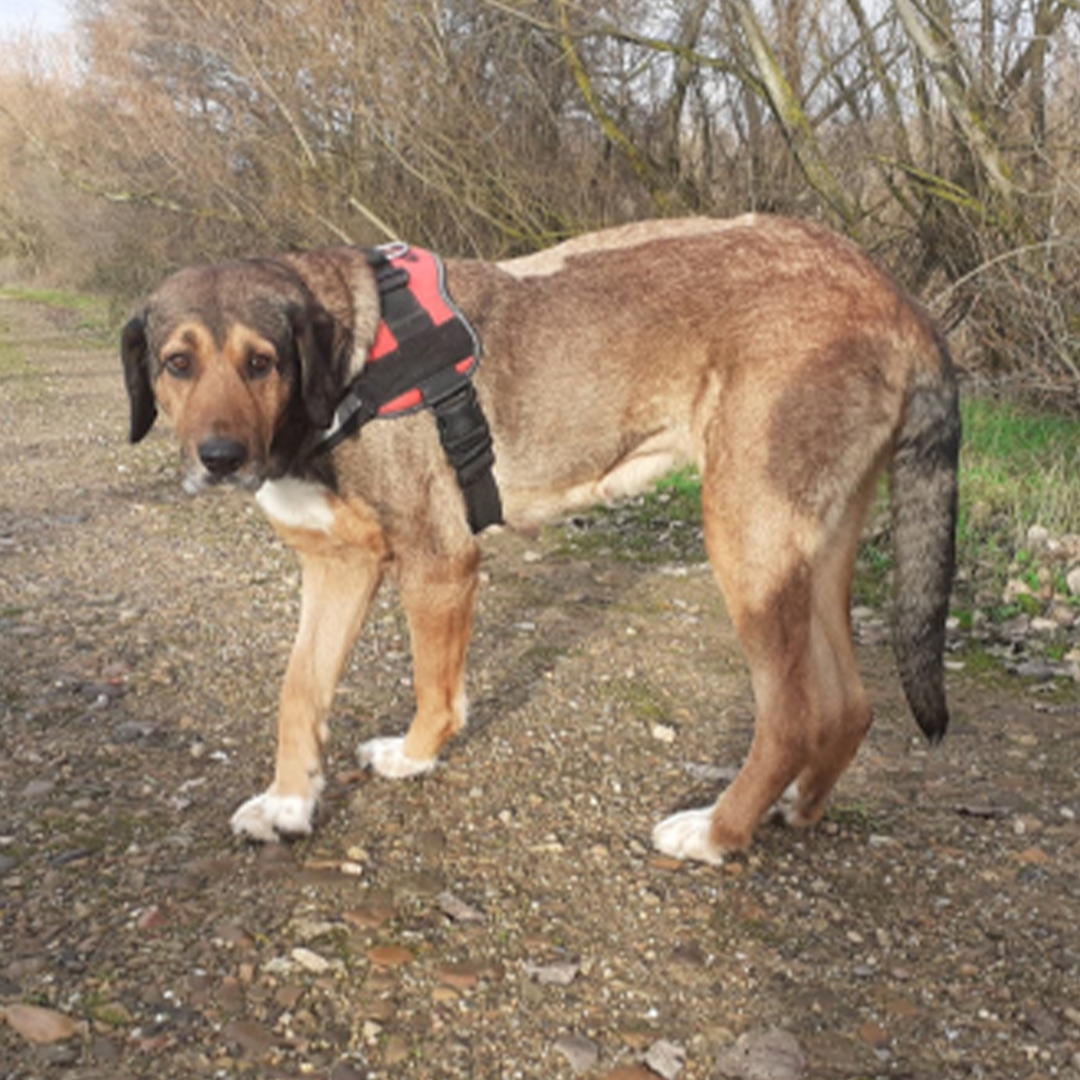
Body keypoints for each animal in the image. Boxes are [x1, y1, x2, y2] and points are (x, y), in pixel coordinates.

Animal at [122, 214, 959, 864]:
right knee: (850, 705)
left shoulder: (439, 561)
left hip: (747, 539)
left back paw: (717, 832)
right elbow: (299, 691)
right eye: (177, 363)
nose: (220, 458)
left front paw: (412, 758)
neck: (341, 375)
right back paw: (797, 808)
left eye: (261, 361)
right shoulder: (337, 566)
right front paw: (289, 804)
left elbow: (435, 693)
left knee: (791, 717)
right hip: (813, 552)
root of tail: (895, 297)